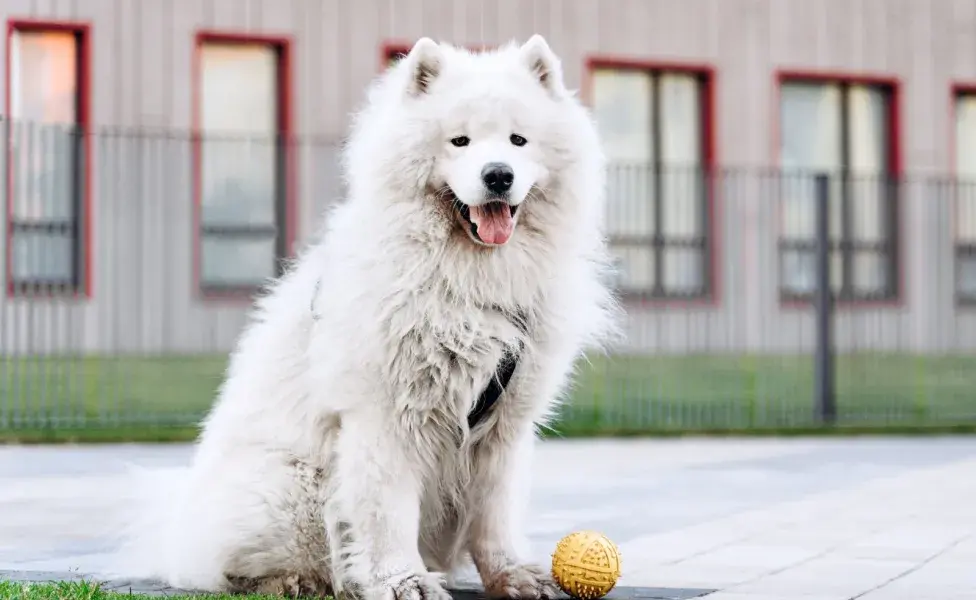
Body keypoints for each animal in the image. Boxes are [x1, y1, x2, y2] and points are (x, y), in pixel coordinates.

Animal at [114, 35, 616, 600]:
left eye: (518, 140)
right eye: (460, 141)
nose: (498, 175)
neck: (469, 281)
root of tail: (176, 536)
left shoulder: (504, 424)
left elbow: (496, 513)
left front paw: (513, 575)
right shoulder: (386, 416)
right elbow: (386, 512)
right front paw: (402, 581)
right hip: (293, 491)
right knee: (246, 565)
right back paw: (298, 582)